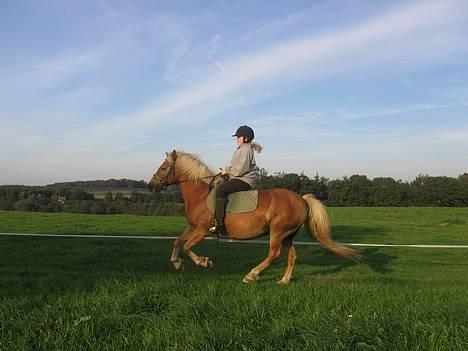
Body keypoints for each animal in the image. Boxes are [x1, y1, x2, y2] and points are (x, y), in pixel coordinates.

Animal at [148, 150, 360, 284]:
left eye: (164, 167)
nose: (151, 186)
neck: (200, 195)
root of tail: (302, 199)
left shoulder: (201, 229)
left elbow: (187, 246)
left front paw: (204, 262)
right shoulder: (192, 227)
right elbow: (177, 241)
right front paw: (177, 264)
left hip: (277, 232)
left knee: (274, 255)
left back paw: (251, 275)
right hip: (288, 235)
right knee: (292, 256)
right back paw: (284, 280)